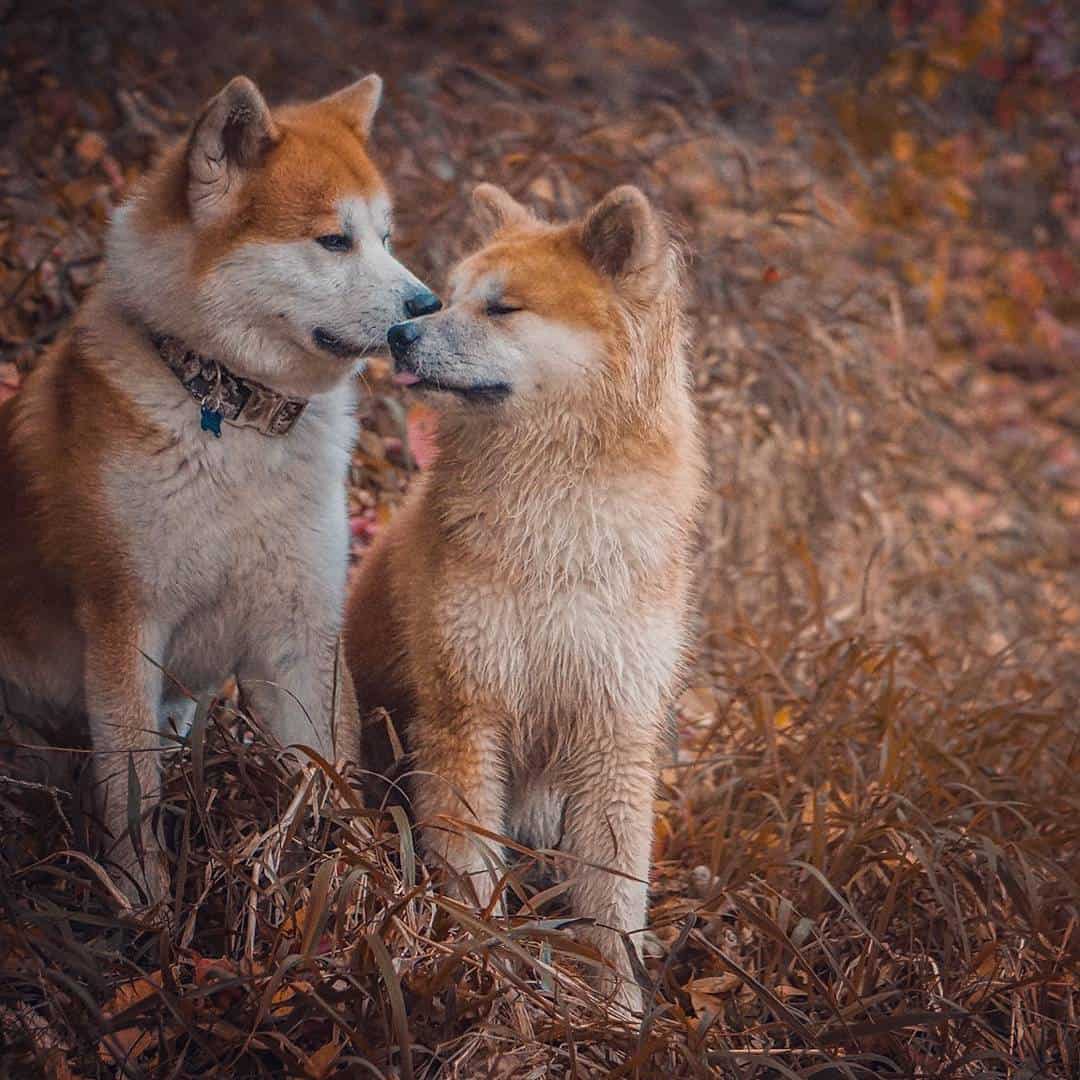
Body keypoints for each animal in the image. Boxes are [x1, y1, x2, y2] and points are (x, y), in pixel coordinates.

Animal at [1, 71, 438, 907]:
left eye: (389, 239)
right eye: (334, 240)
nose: (427, 310)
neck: (235, 416)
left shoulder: (300, 632)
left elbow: (333, 774)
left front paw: (355, 886)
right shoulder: (126, 620)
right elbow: (132, 789)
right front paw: (142, 903)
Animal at [341, 185, 704, 1010]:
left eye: (502, 307)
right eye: (446, 298)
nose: (400, 332)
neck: (560, 525)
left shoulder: (613, 731)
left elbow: (613, 902)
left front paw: (618, 1015)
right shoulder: (464, 712)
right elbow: (473, 876)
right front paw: (491, 985)